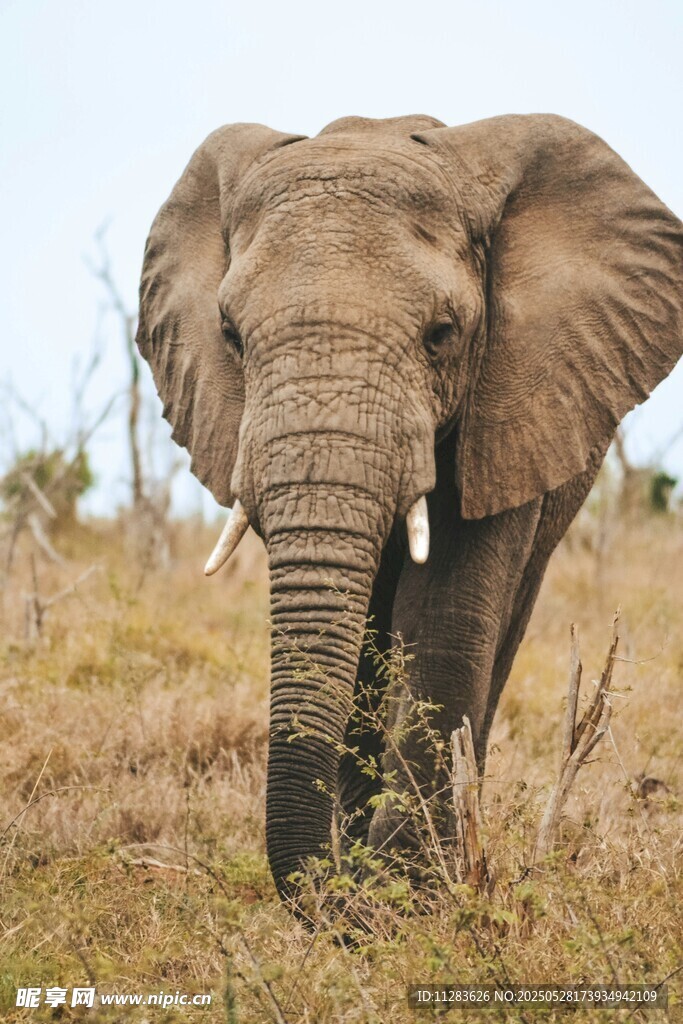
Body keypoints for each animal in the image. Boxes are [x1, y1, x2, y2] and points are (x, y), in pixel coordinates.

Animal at [136, 113, 683, 903]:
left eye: (441, 334)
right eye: (231, 335)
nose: (335, 895)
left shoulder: (510, 394)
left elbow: (448, 608)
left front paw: (407, 891)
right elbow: (356, 625)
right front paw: (379, 885)